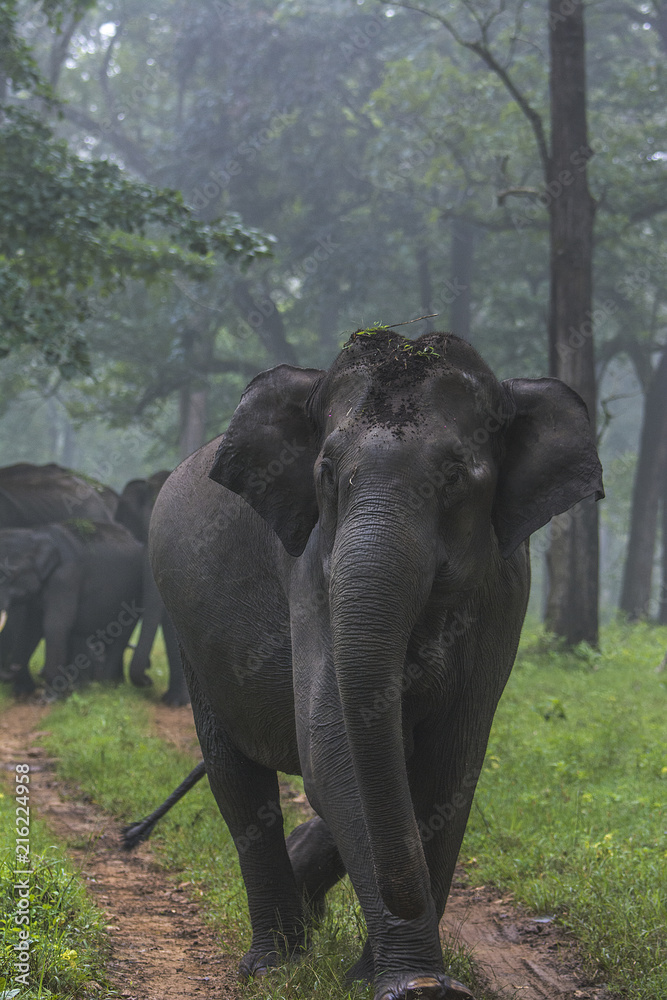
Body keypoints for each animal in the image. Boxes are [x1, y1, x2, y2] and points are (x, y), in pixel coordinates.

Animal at [0, 520, 143, 697]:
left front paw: (53, 696)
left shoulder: (66, 577)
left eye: (11, 574)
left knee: (120, 636)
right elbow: (32, 625)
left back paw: (106, 687)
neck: (35, 535)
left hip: (134, 595)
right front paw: (22, 693)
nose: (11, 669)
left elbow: (55, 625)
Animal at [149, 330, 604, 1000]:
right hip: (188, 631)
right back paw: (277, 965)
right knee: (238, 782)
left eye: (453, 475)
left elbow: (450, 763)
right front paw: (410, 983)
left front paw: (398, 980)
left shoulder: (505, 587)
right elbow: (335, 750)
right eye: (326, 473)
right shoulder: (312, 573)